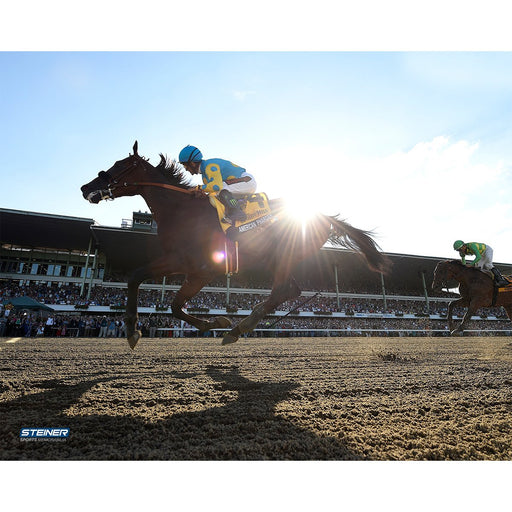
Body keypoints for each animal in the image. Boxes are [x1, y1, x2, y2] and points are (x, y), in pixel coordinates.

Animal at [82, 141, 390, 348]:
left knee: (282, 290)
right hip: (279, 257)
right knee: (290, 289)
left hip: (283, 254)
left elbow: (170, 302)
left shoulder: (200, 269)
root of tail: (321, 216)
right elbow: (143, 283)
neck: (182, 212)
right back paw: (245, 324)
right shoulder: (181, 264)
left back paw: (239, 328)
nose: (86, 188)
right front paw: (134, 330)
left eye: (121, 165)